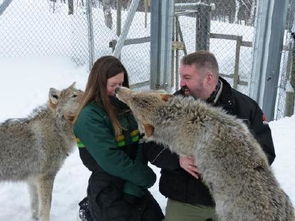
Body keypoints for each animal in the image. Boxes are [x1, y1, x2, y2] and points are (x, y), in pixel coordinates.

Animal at [0, 82, 83, 221]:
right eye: (74, 96)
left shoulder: (32, 181)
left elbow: (35, 207)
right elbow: (46, 209)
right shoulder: (46, 178)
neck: (57, 128)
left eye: (81, 91)